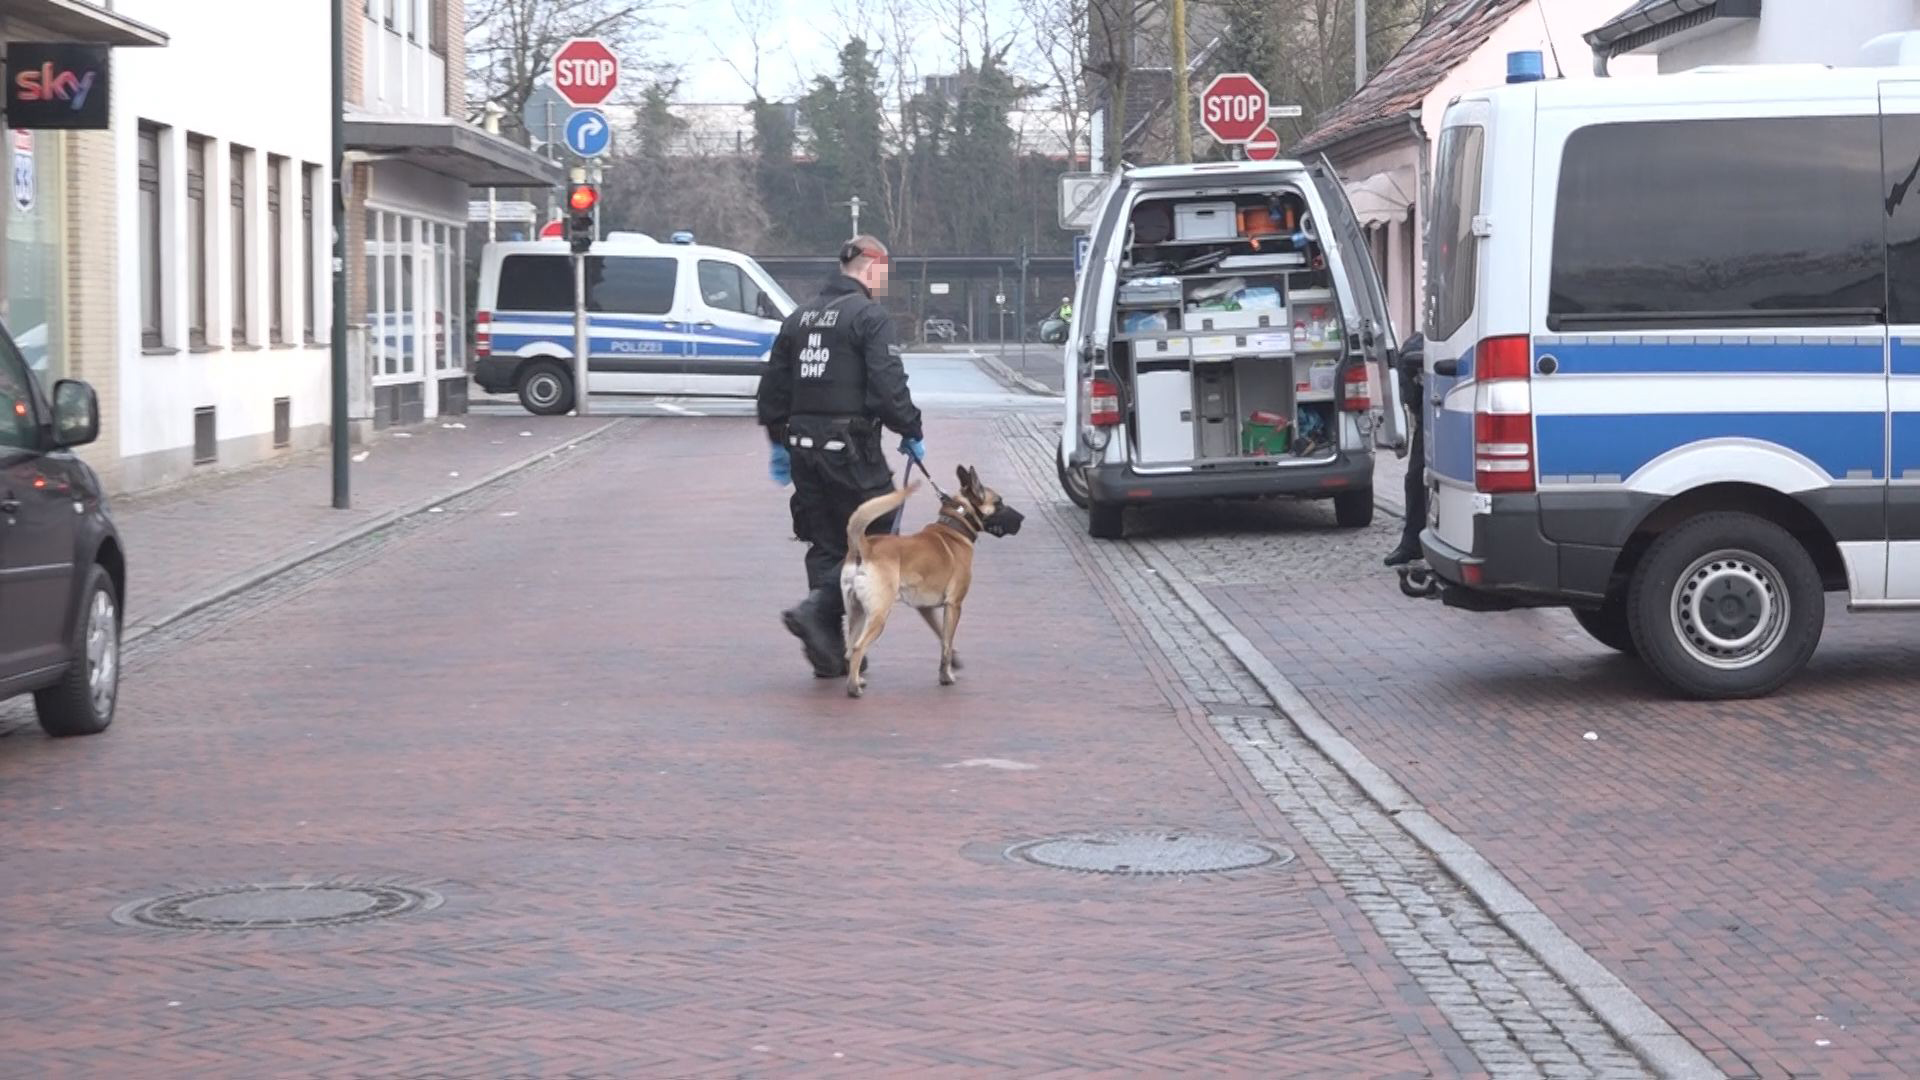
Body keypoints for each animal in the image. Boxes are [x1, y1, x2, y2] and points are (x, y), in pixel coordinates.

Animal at [837, 465, 1021, 699]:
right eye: (999, 503)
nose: (1022, 518)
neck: (955, 526)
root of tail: (864, 547)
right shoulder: (954, 605)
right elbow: (947, 645)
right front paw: (946, 676)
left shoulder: (926, 608)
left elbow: (942, 638)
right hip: (878, 615)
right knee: (859, 647)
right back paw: (853, 687)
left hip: (857, 613)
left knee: (849, 649)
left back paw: (856, 678)